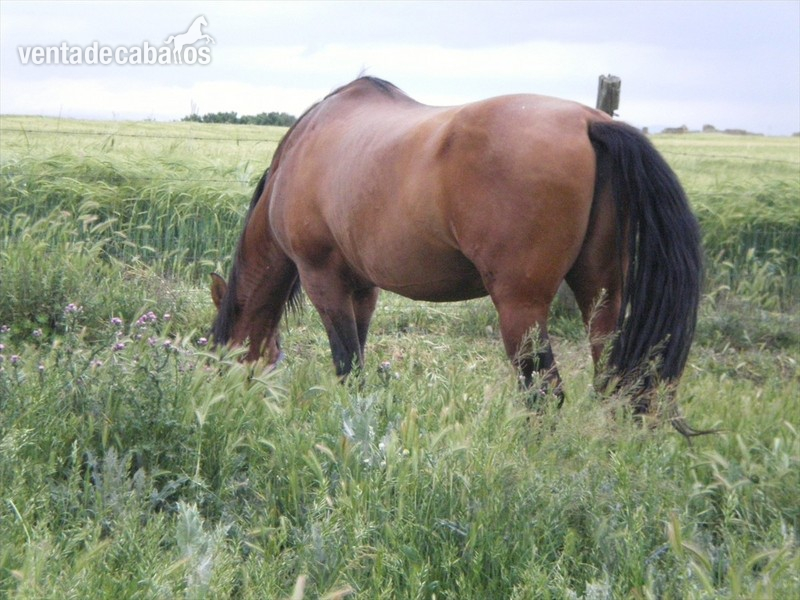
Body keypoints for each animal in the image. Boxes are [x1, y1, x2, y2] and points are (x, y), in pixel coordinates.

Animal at [210, 76, 703, 425]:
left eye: (218, 354)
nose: (221, 398)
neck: (300, 152)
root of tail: (592, 122)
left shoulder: (323, 281)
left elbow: (348, 365)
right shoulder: (363, 289)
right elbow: (360, 361)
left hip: (521, 307)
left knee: (544, 394)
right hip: (601, 294)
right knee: (613, 382)